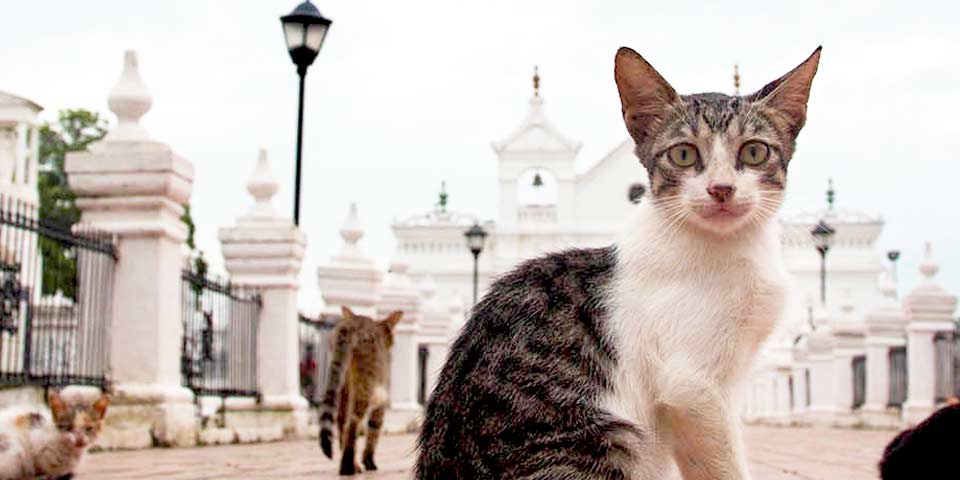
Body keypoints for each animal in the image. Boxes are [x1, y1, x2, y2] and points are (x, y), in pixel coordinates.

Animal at [318, 308, 402, 476]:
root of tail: (353, 323)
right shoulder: (381, 400)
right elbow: (374, 431)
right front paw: (369, 462)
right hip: (364, 388)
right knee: (352, 424)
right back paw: (347, 467)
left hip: (341, 385)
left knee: (342, 423)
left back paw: (352, 465)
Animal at [416, 46, 820, 480]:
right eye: (683, 154)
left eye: (754, 151)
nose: (722, 189)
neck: (728, 247)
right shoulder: (691, 386)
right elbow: (724, 465)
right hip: (611, 440)